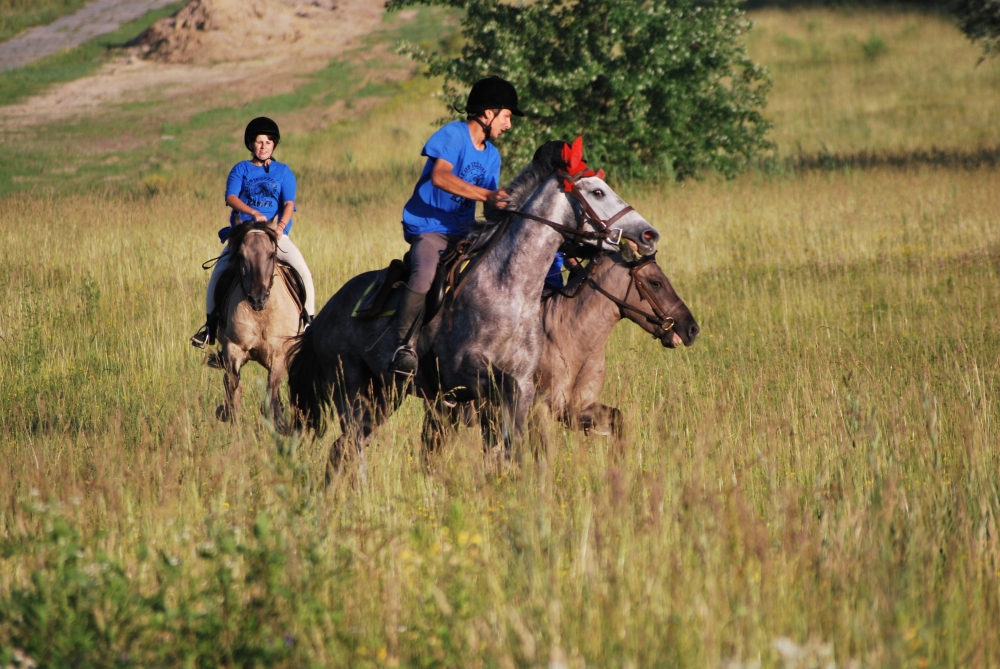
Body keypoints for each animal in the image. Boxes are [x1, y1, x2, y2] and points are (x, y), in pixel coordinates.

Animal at [214, 221, 304, 434]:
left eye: (271, 254)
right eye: (241, 256)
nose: (257, 298)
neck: (261, 313)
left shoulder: (279, 355)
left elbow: (271, 394)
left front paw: (278, 425)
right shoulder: (233, 348)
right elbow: (234, 387)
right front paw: (229, 417)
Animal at [287, 144, 661, 479]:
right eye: (597, 191)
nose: (649, 234)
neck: (510, 290)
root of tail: (324, 316)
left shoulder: (524, 386)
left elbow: (514, 442)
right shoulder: (469, 377)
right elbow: (507, 435)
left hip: (385, 395)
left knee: (347, 447)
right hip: (352, 388)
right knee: (348, 446)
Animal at [421, 245, 699, 450]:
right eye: (655, 283)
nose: (691, 329)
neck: (574, 343)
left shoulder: (577, 409)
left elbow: (617, 420)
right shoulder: (539, 411)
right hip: (442, 410)